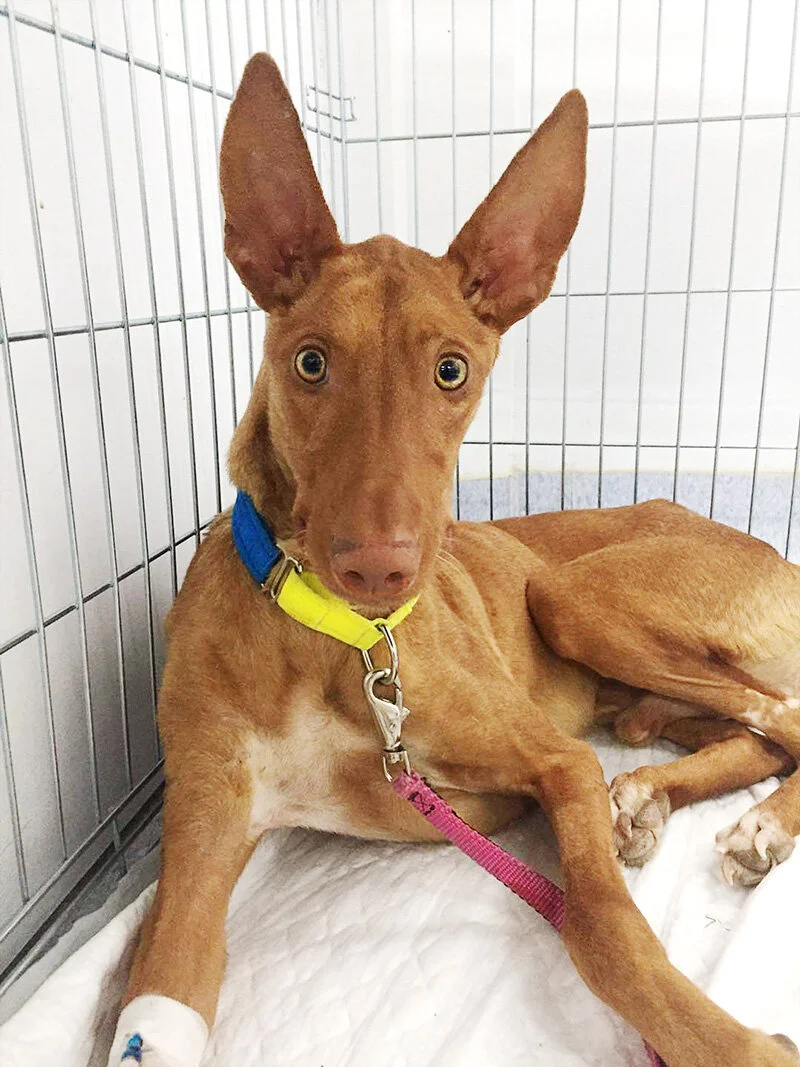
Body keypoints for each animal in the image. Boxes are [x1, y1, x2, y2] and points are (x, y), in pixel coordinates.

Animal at [107, 54, 800, 1067]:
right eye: (309, 362)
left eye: (451, 371)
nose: (380, 568)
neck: (336, 640)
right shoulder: (202, 828)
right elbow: (157, 1005)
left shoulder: (555, 760)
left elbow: (600, 927)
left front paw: (725, 1042)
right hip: (632, 683)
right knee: (746, 729)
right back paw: (654, 798)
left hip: (572, 593)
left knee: (783, 713)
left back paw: (754, 825)